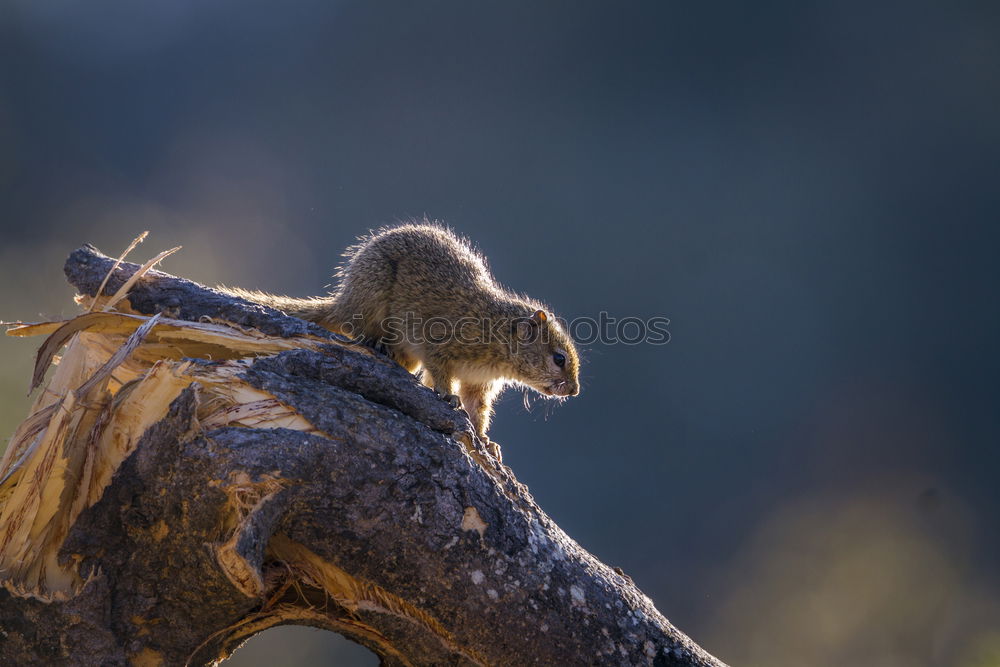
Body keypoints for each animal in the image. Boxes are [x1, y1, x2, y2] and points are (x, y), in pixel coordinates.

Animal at [228, 223, 584, 448]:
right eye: (559, 358)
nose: (574, 392)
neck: (496, 334)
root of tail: (344, 300)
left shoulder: (478, 383)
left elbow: (477, 410)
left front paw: (485, 441)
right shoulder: (440, 344)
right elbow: (440, 376)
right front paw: (447, 397)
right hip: (373, 298)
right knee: (357, 329)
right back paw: (374, 342)